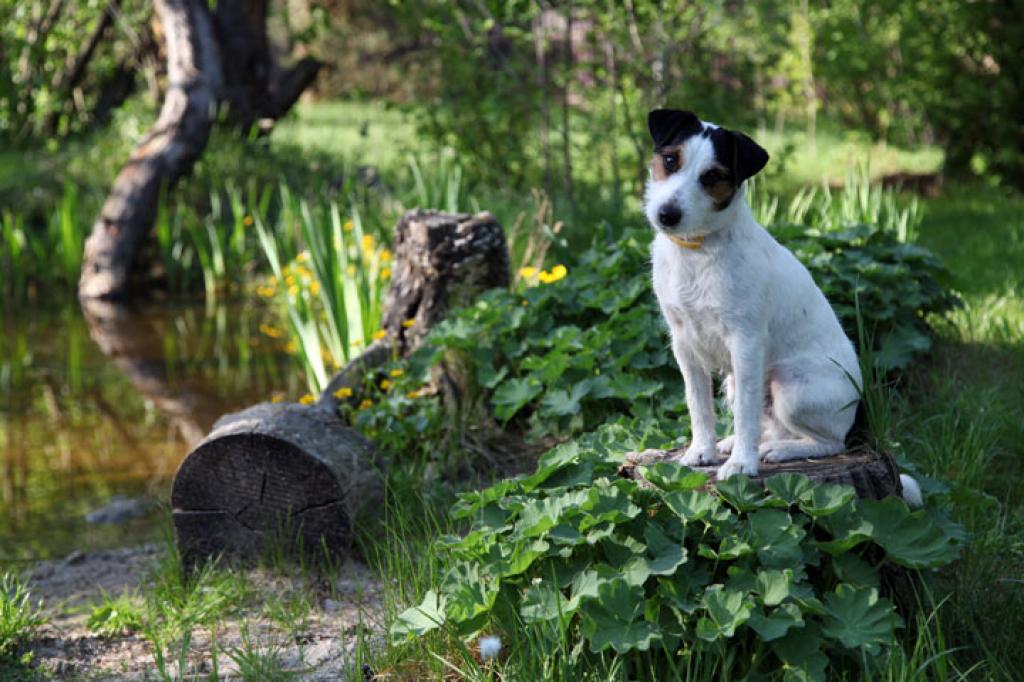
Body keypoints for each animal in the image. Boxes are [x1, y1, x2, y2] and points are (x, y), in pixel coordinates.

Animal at [647, 109, 921, 501]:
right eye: (670, 160)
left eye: (712, 176)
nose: (666, 214)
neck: (697, 250)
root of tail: (858, 415)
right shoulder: (684, 344)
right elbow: (698, 405)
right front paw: (702, 451)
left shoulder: (745, 343)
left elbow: (745, 414)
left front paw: (742, 465)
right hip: (739, 382)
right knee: (770, 425)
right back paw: (740, 443)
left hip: (790, 386)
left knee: (829, 442)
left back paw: (777, 450)